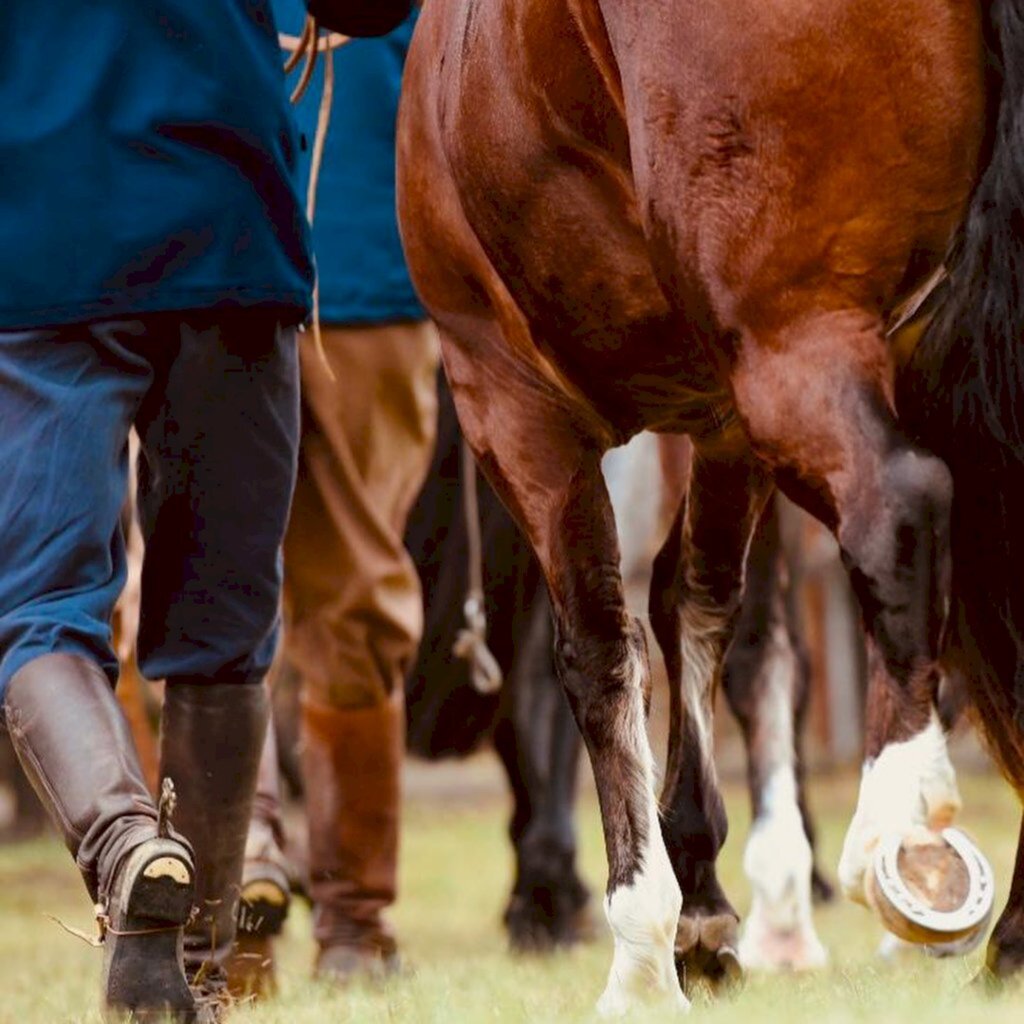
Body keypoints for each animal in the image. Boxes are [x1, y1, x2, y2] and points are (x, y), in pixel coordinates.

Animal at [393, 0, 1015, 1007]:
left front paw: (644, 956)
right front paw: (699, 905)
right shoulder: (719, 420)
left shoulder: (513, 405)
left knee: (900, 502)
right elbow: (692, 610)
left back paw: (904, 825)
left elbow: (597, 651)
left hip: (789, 340)